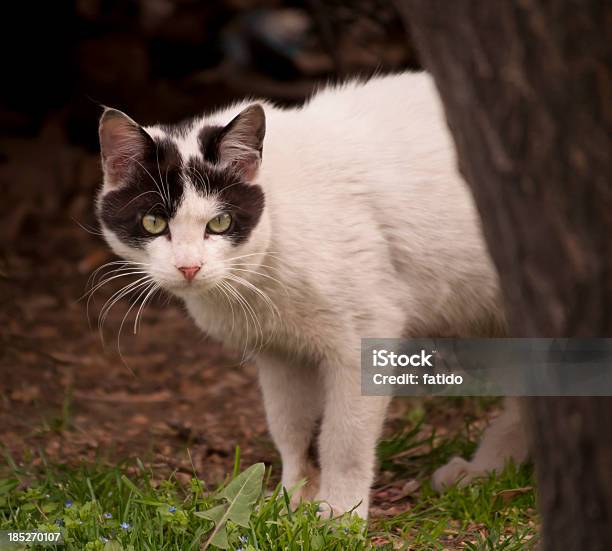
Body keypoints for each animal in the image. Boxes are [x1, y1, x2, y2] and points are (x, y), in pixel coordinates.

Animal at [94, 71, 524, 520]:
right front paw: (292, 499)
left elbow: (344, 439)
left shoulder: (364, 340)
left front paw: (340, 514)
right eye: (153, 222)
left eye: (220, 222)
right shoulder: (280, 354)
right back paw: (487, 472)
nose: (189, 267)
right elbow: (290, 428)